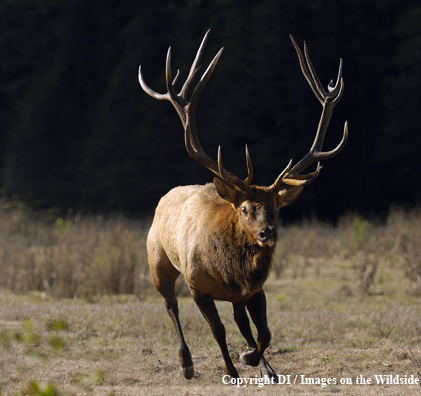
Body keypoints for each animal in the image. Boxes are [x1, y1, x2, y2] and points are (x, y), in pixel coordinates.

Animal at [138, 31, 344, 380]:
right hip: (158, 263)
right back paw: (186, 363)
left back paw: (264, 367)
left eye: (278, 207)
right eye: (245, 208)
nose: (267, 233)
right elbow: (218, 330)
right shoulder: (197, 285)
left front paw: (253, 360)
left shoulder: (254, 289)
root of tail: (163, 200)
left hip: (233, 294)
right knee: (170, 306)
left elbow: (263, 333)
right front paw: (232, 369)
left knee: (241, 322)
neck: (227, 270)